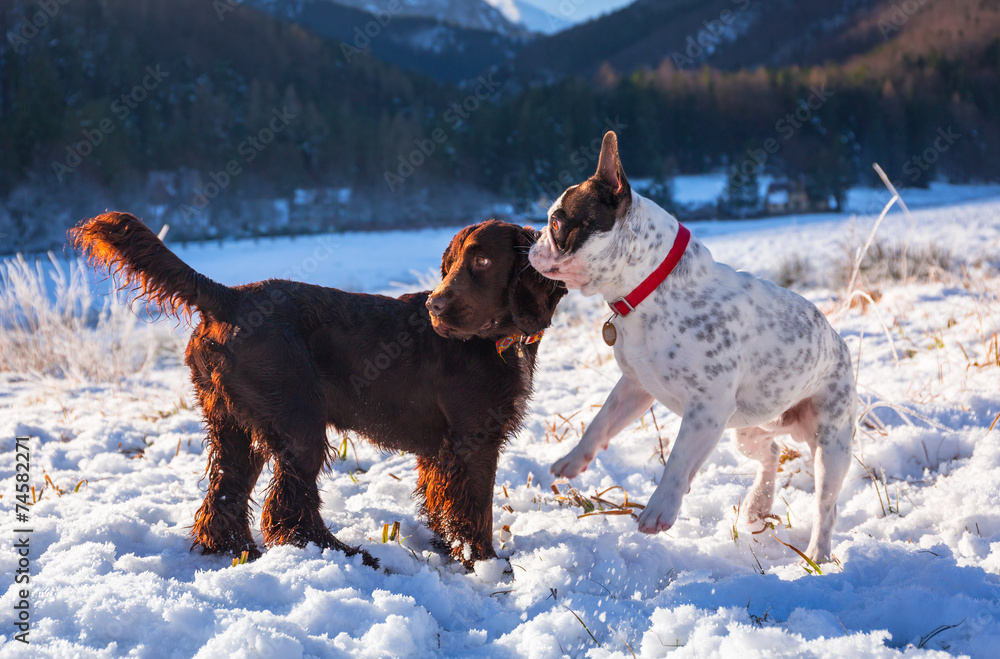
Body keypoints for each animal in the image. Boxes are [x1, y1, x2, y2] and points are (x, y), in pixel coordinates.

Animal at [72, 215, 564, 568]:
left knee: (225, 496)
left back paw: (237, 551)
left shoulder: (441, 450)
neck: (495, 341)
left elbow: (444, 501)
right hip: (297, 422)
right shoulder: (472, 442)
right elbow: (476, 509)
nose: (435, 306)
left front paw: (448, 548)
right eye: (453, 263)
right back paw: (345, 554)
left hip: (235, 425)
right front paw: (486, 565)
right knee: (287, 506)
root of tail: (228, 298)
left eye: (482, 262)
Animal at [528, 131, 856, 564]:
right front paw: (572, 460)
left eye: (557, 221)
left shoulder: (706, 409)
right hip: (746, 430)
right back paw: (758, 504)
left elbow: (679, 459)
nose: (532, 238)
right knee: (769, 454)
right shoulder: (635, 387)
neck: (648, 289)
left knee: (826, 505)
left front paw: (659, 510)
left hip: (829, 445)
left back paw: (817, 553)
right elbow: (602, 420)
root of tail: (839, 344)